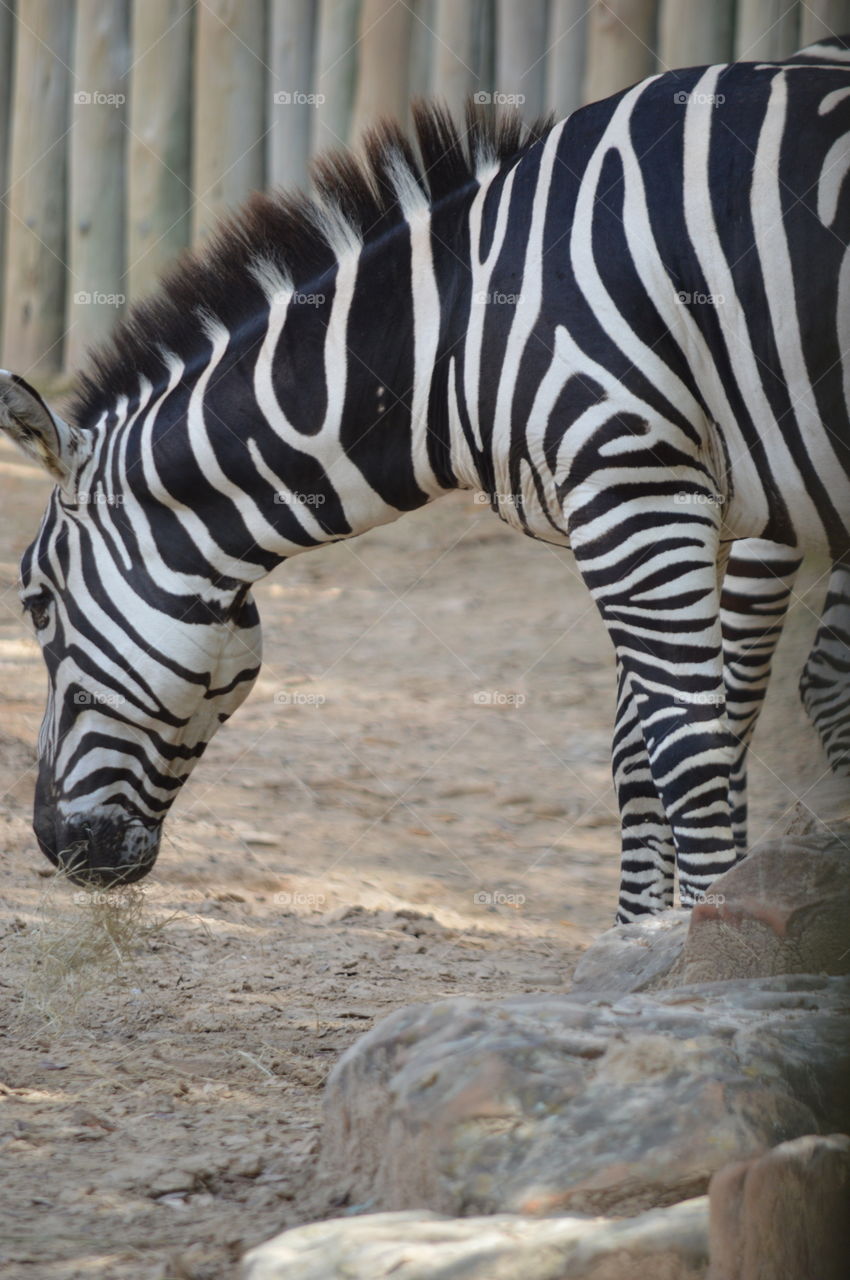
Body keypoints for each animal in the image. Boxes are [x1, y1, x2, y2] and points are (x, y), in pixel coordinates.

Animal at [1, 47, 849, 919]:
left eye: (35, 602)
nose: (54, 847)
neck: (457, 329)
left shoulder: (633, 488)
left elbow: (688, 742)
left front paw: (694, 939)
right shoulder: (668, 506)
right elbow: (637, 749)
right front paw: (644, 935)